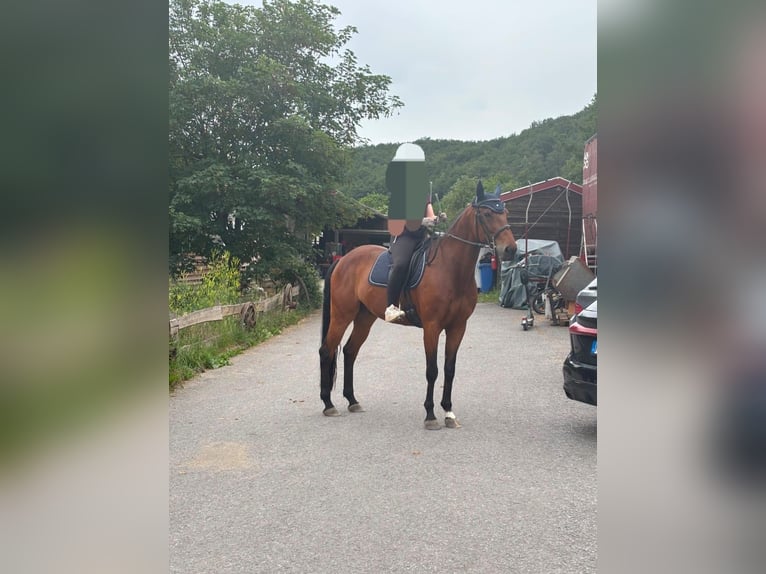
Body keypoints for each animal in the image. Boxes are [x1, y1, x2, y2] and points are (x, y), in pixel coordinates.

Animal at [318, 181, 517, 429]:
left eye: (505, 212)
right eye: (488, 214)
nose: (511, 249)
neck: (450, 269)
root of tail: (342, 260)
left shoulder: (458, 327)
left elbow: (449, 369)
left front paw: (449, 412)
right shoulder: (432, 327)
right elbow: (432, 370)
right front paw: (430, 415)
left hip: (365, 317)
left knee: (349, 351)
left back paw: (352, 400)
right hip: (342, 315)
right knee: (326, 350)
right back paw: (328, 404)